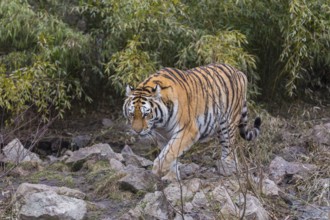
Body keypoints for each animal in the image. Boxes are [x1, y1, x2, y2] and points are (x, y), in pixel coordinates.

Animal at [122, 63, 262, 180]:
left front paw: (158, 169)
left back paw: (226, 168)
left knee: (229, 149)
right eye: (132, 114)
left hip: (227, 125)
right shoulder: (163, 136)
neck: (161, 123)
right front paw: (172, 177)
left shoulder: (188, 130)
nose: (137, 131)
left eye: (146, 114)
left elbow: (170, 151)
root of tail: (239, 72)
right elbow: (169, 154)